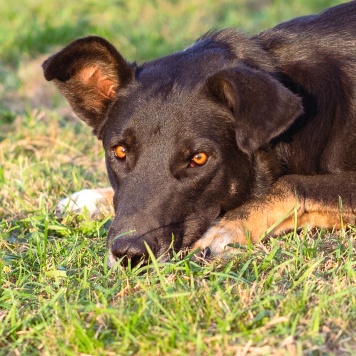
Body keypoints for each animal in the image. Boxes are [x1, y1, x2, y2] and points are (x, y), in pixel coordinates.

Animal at [43, 1, 356, 266]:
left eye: (199, 158)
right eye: (119, 151)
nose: (129, 255)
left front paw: (226, 228)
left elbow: (291, 183)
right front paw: (91, 198)